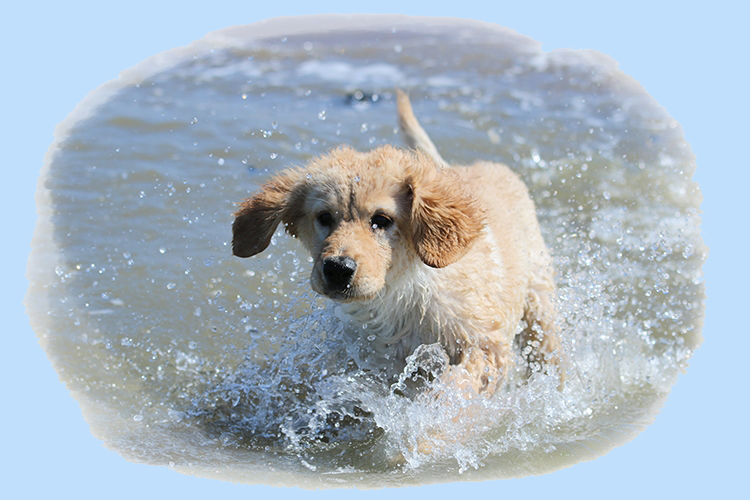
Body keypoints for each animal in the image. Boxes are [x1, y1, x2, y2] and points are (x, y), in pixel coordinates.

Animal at [232, 89, 562, 397]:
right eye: (324, 217)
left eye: (381, 219)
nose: (337, 269)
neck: (404, 292)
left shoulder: (485, 346)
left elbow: (452, 393)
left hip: (540, 305)